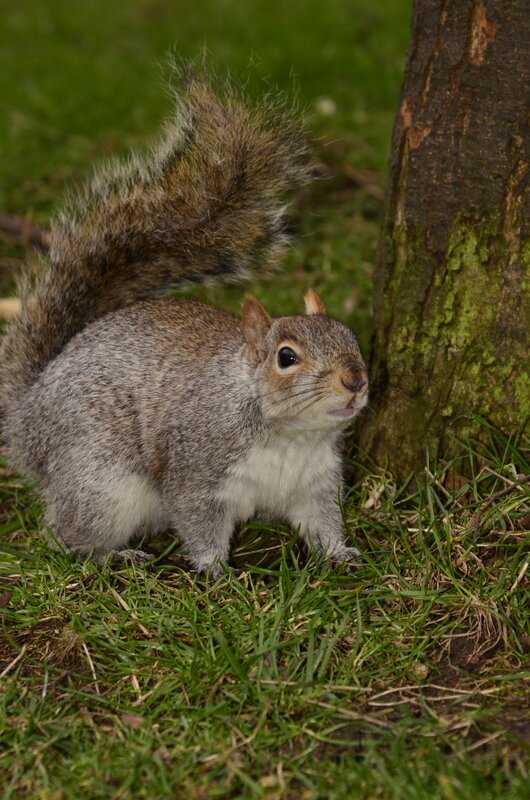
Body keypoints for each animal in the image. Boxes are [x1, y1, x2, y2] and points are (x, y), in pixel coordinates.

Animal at [0, 72, 369, 577]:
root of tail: (26, 416)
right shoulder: (196, 471)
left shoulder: (314, 485)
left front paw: (340, 554)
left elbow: (323, 523)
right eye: (286, 357)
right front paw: (218, 572)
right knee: (64, 531)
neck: (290, 436)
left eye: (350, 336)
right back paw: (113, 554)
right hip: (99, 480)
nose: (355, 380)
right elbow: (199, 523)